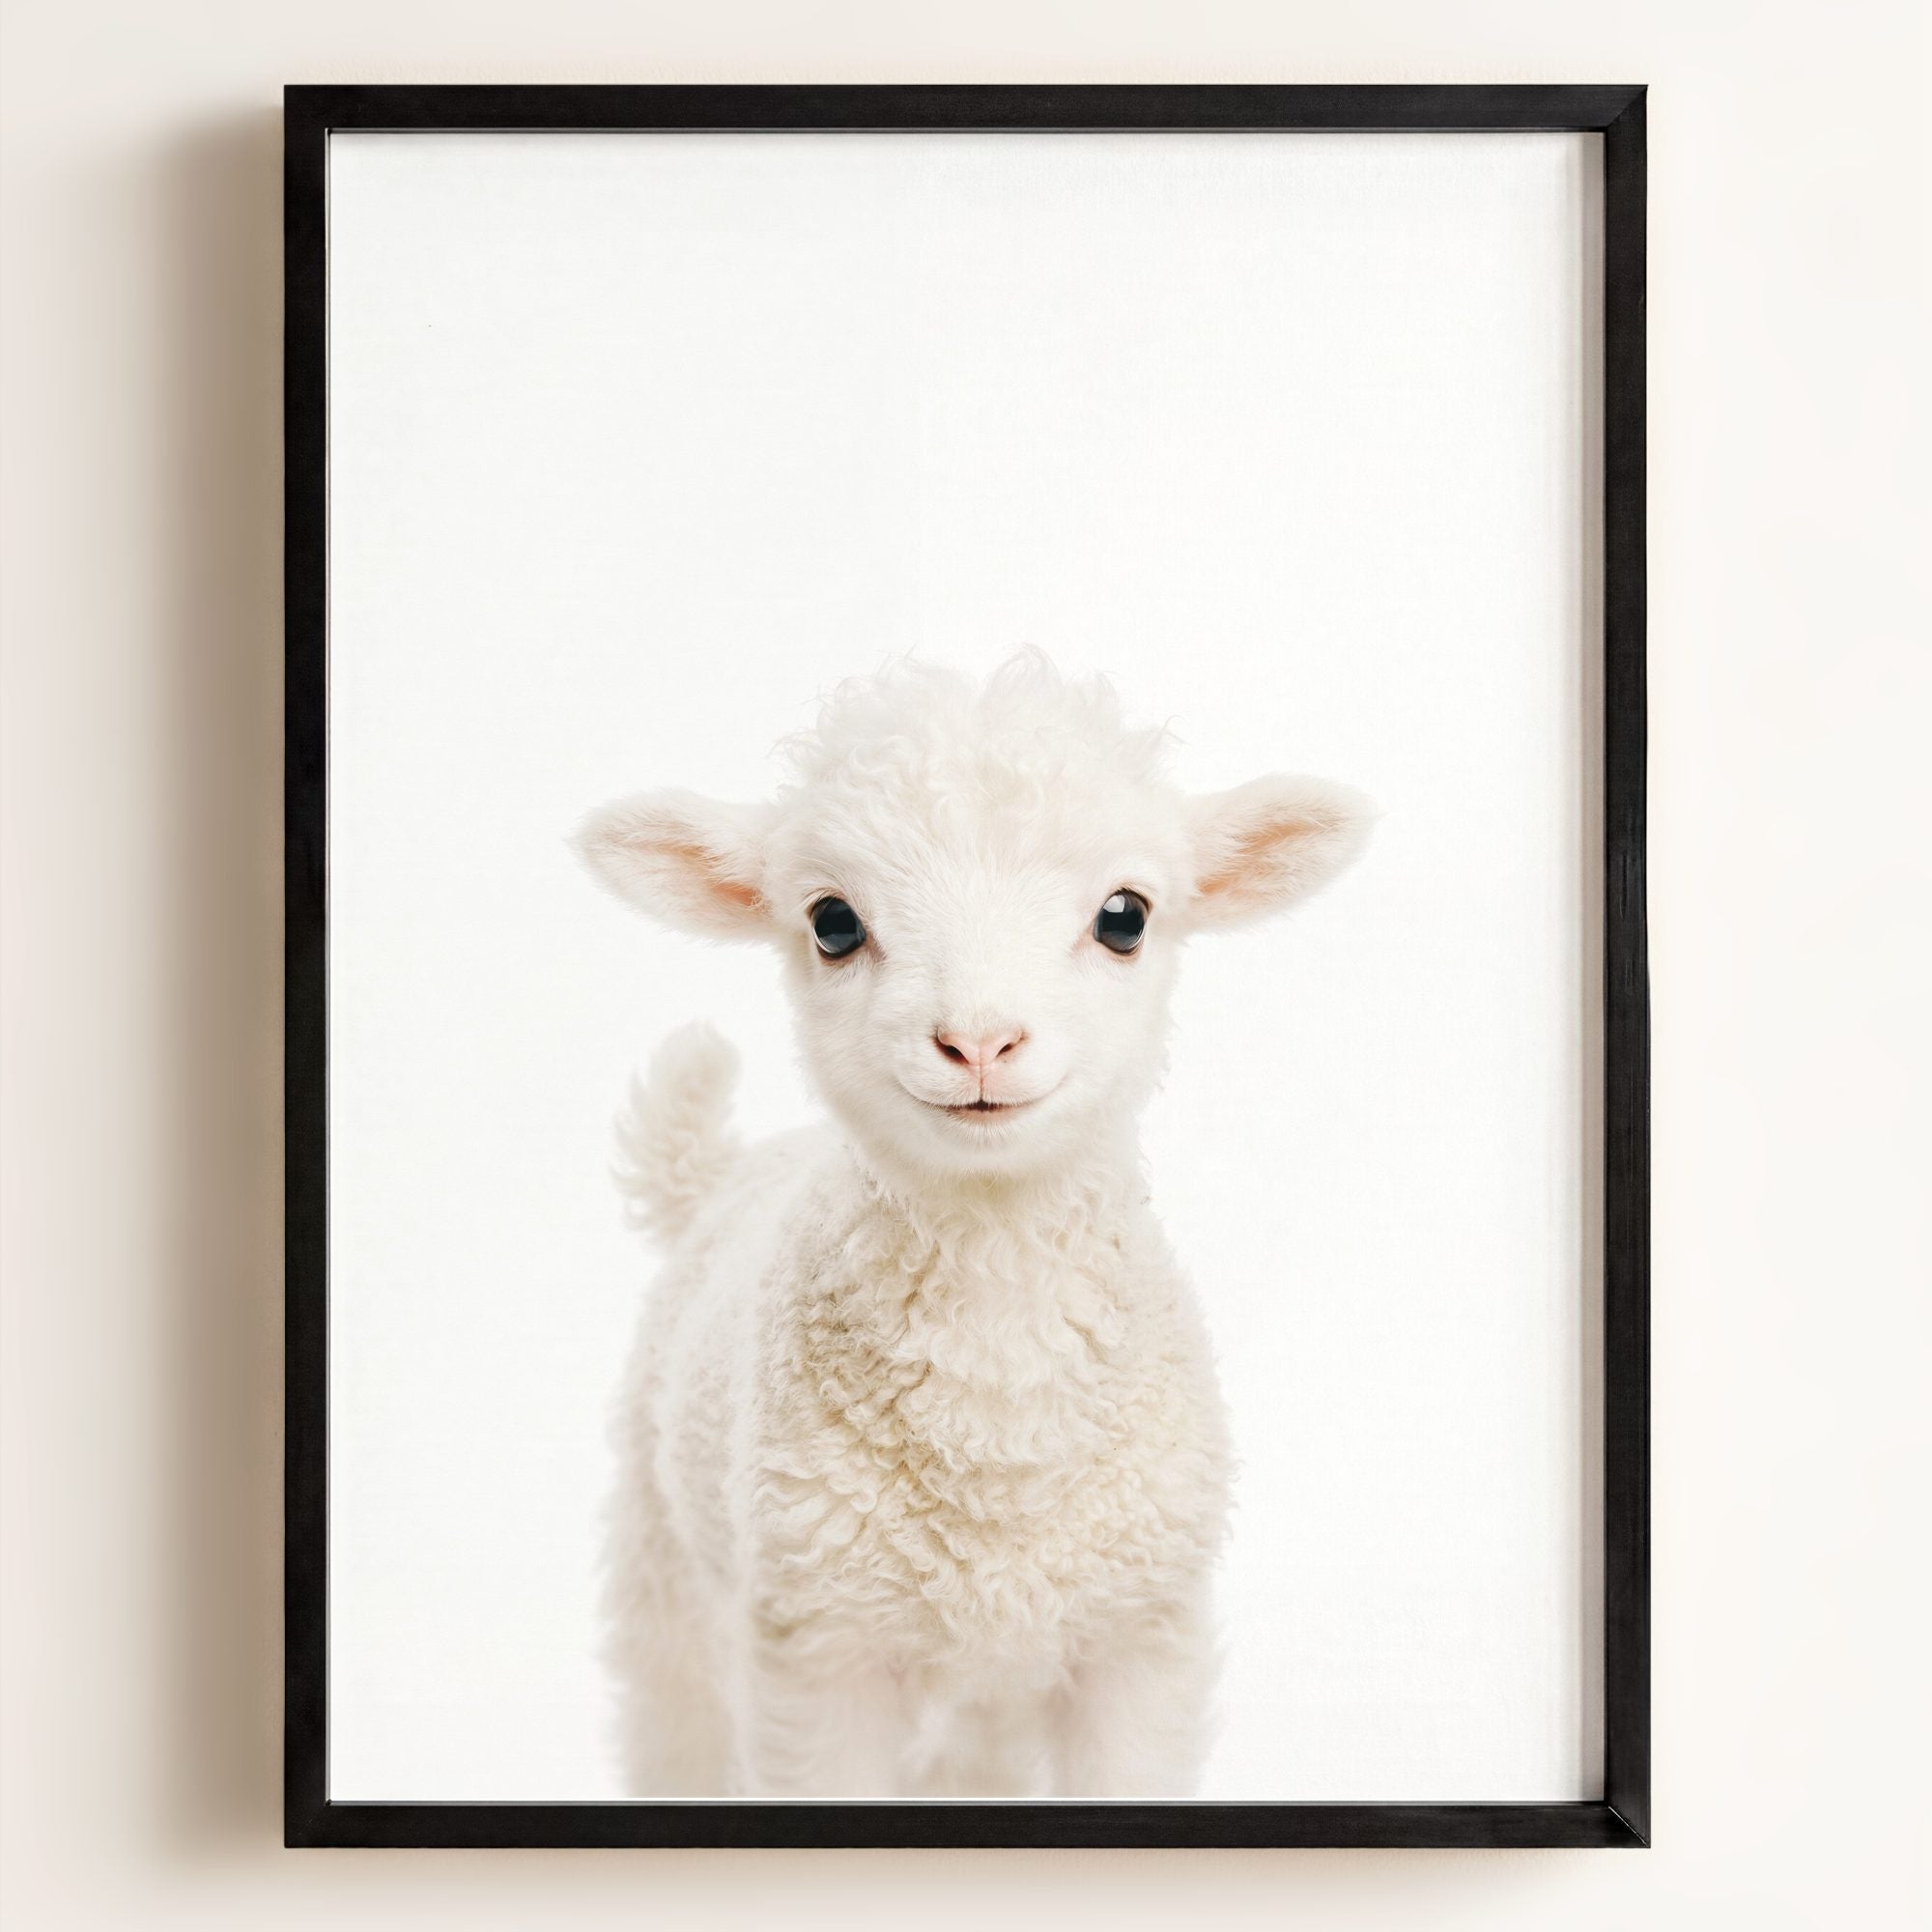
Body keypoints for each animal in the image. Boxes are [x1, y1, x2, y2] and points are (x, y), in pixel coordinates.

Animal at [573, 652, 1373, 1798]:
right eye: (832, 922)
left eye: (1125, 915)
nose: (980, 1040)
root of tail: (724, 1171)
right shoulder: (817, 1652)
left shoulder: (1139, 1640)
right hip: (667, 1569)